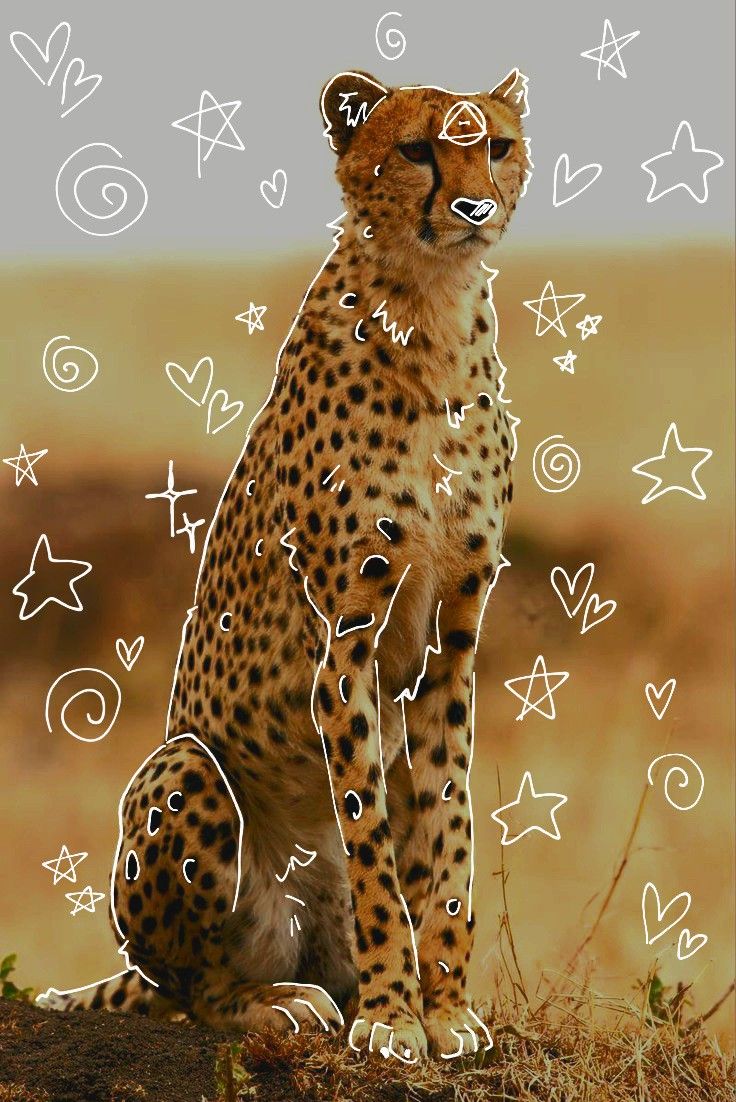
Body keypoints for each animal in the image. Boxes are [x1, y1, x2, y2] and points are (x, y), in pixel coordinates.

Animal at [39, 66, 531, 1062]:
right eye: (417, 149)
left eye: (496, 145)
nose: (472, 205)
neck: (434, 307)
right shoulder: (344, 636)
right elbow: (375, 848)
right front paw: (393, 1016)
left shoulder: (453, 640)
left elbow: (449, 826)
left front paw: (444, 1008)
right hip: (184, 767)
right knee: (196, 989)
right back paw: (279, 1005)